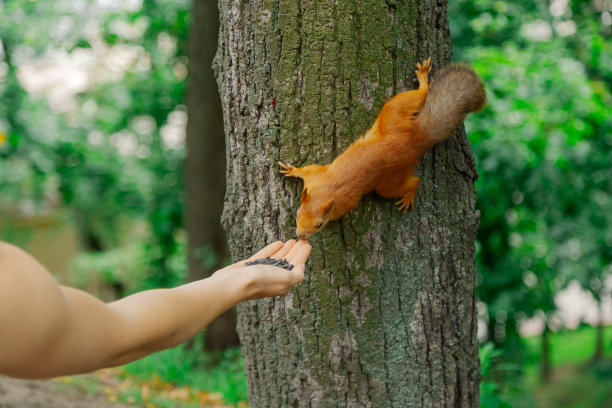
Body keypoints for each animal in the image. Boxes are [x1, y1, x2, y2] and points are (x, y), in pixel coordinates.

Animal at [280, 60, 486, 239]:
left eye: (319, 225)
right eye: (297, 213)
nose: (300, 235)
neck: (326, 191)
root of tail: (410, 143)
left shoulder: (343, 201)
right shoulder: (315, 177)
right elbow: (307, 170)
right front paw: (291, 170)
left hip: (388, 183)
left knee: (413, 181)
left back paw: (409, 195)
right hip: (393, 115)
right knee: (411, 100)